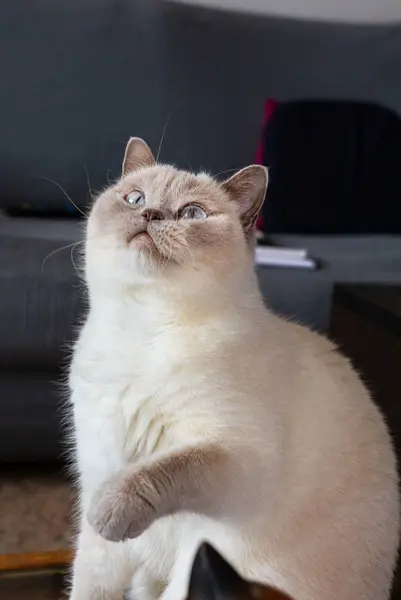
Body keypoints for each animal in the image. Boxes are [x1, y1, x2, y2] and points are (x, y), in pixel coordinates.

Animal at [67, 138, 398, 600]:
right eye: (135, 199)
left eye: (192, 214)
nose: (150, 215)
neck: (143, 327)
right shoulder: (97, 479)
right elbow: (87, 582)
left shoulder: (235, 457)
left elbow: (162, 470)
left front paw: (110, 512)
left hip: (199, 578)